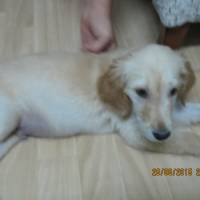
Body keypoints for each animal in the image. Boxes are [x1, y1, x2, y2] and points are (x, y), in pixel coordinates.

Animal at [0, 43, 200, 159]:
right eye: (141, 92)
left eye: (173, 91)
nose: (162, 135)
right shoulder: (134, 132)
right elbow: (188, 140)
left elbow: (187, 111)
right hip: (9, 118)